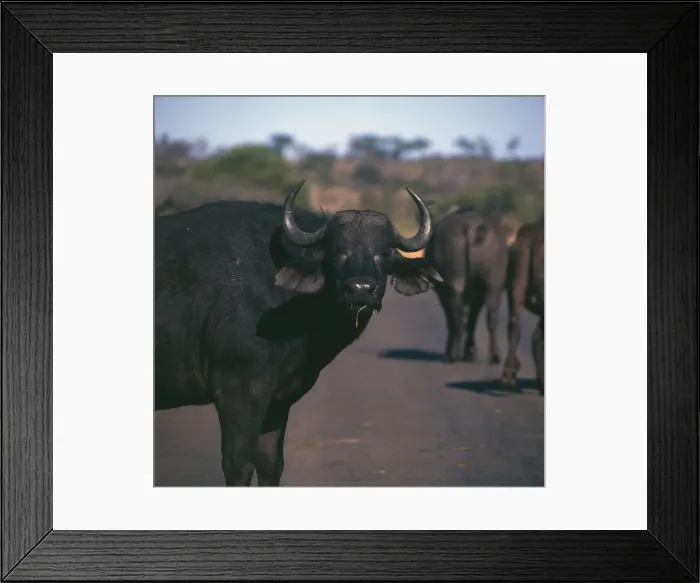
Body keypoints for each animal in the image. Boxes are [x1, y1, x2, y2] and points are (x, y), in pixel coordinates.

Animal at [154, 180, 442, 486]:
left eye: (384, 252)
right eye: (336, 251)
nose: (360, 289)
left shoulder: (278, 402)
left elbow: (270, 465)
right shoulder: (237, 395)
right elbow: (238, 466)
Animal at [424, 206, 510, 364]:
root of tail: (472, 227)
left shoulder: (443, 294)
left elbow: (454, 320)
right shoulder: (478, 296)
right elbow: (472, 320)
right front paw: (470, 351)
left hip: (453, 284)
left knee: (457, 319)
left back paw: (451, 355)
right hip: (494, 283)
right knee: (491, 316)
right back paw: (495, 355)